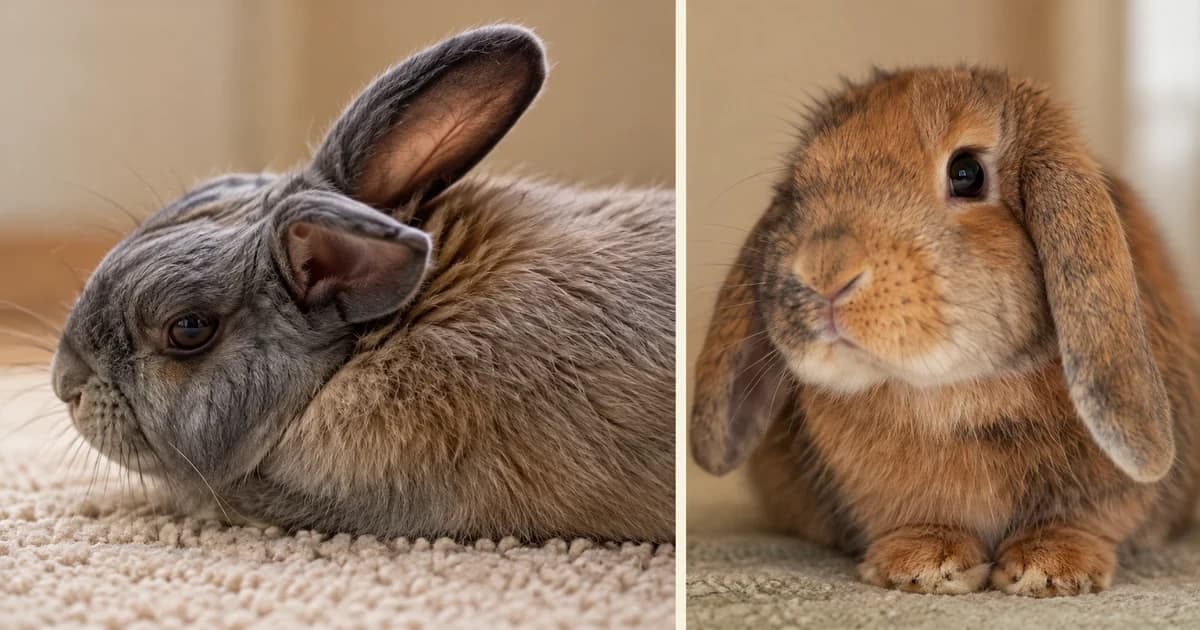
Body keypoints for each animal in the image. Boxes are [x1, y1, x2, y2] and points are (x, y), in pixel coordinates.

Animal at [690, 66, 1200, 596]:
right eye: (798, 186)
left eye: (967, 173)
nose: (824, 271)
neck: (952, 393)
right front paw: (924, 564)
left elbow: (1086, 520)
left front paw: (1051, 568)